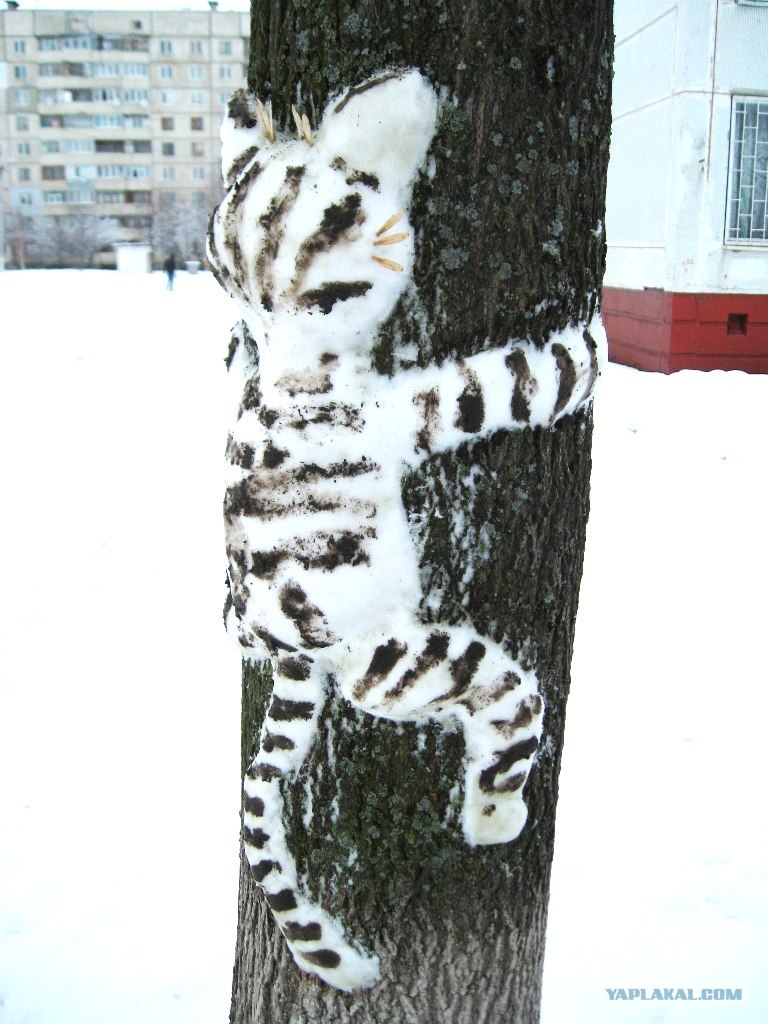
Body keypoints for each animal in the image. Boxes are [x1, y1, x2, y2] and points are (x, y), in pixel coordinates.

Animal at [207, 68, 604, 991]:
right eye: (353, 184)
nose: (403, 80)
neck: (292, 360)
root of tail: (292, 653)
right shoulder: (409, 408)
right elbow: (527, 377)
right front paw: (599, 334)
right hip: (412, 660)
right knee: (509, 709)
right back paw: (495, 815)